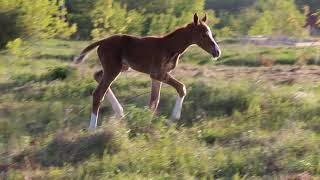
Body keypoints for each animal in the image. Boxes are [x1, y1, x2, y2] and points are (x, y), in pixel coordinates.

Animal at [74, 13, 220, 129]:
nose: (217, 52)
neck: (170, 46)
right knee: (98, 93)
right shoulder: (157, 73)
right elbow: (181, 88)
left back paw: (120, 112)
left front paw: (146, 124)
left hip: (120, 67)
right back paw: (92, 128)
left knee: (97, 75)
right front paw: (174, 117)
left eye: (210, 33)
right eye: (203, 34)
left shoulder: (156, 76)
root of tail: (103, 41)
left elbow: (154, 102)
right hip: (113, 69)